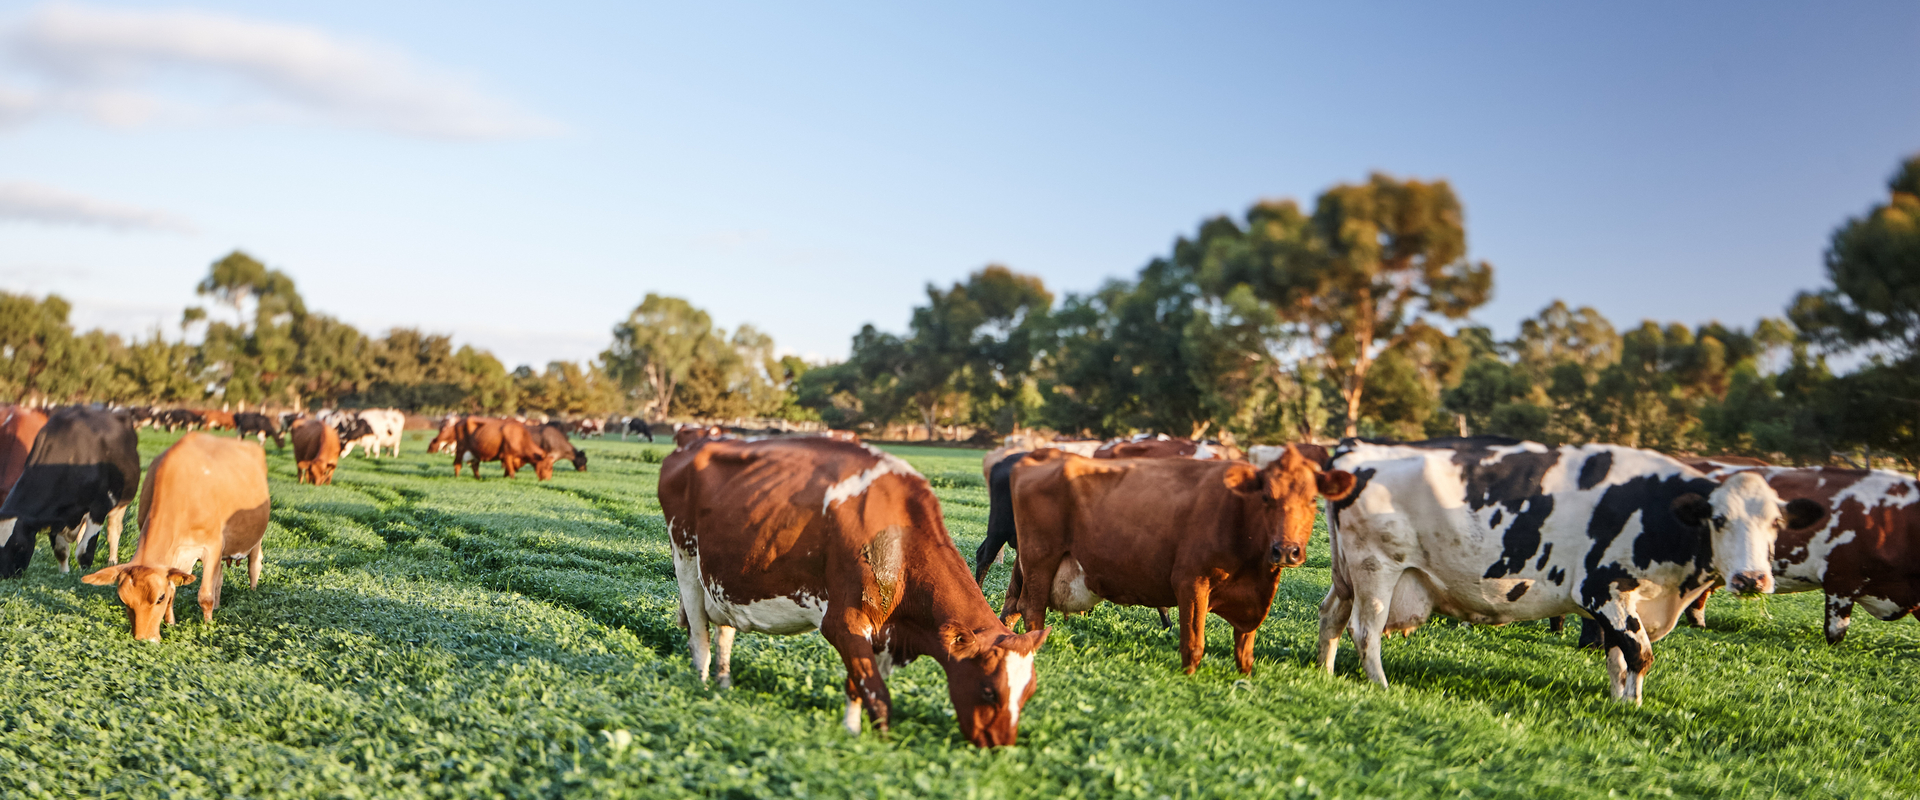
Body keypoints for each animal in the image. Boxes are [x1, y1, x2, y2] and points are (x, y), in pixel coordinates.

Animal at [0, 407, 141, 576]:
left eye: (19, 545)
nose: (4, 575)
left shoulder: (99, 508)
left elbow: (84, 552)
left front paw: (83, 577)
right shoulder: (56, 515)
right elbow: (61, 551)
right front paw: (64, 574)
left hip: (121, 503)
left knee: (114, 531)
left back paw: (112, 561)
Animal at [81, 433, 269, 641]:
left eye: (159, 598)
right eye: (124, 601)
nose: (144, 639)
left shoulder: (212, 547)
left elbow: (205, 595)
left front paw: (207, 626)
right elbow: (175, 590)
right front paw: (170, 623)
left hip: (256, 537)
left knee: (254, 563)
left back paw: (252, 591)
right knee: (219, 577)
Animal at [660, 435, 1049, 746]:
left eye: (1028, 693)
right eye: (988, 690)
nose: (1000, 746)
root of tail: (693, 443)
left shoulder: (878, 631)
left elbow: (857, 685)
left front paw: (850, 732)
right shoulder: (843, 622)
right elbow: (878, 696)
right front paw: (877, 749)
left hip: (723, 582)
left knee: (724, 630)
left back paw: (724, 683)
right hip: (686, 560)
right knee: (699, 633)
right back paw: (702, 685)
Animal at [1002, 446, 1354, 674]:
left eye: (1313, 499)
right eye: (1267, 497)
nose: (1286, 550)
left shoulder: (1252, 600)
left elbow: (1245, 649)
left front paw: (1245, 678)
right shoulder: (1191, 580)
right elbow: (1193, 642)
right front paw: (1189, 677)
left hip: (1027, 565)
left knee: (1012, 607)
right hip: (1041, 558)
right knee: (1032, 610)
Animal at [1318, 437, 1821, 704]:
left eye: (1776, 523)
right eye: (1719, 520)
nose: (1752, 579)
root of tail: (1357, 448)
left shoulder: (1625, 603)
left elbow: (1619, 656)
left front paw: (1619, 700)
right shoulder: (1604, 590)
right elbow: (1639, 654)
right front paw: (1634, 706)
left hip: (1347, 577)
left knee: (1331, 617)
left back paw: (1324, 670)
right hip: (1377, 570)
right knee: (1366, 630)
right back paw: (1380, 685)